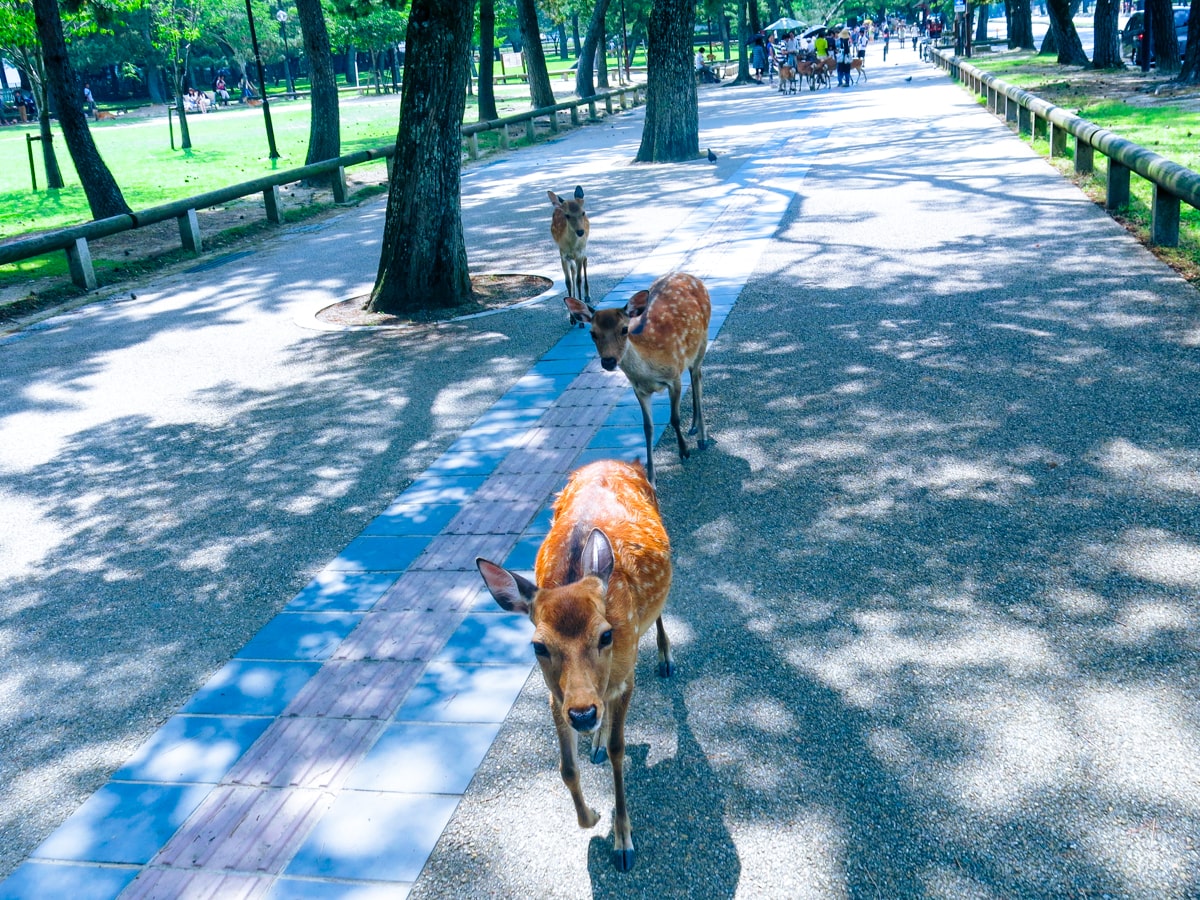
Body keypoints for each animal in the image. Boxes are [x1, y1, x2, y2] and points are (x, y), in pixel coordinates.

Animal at [472, 458, 672, 873]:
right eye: (538, 646)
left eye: (606, 635)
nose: (582, 714)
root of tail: (623, 461)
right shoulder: (556, 695)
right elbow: (566, 767)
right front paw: (591, 816)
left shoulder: (625, 676)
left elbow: (619, 750)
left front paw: (623, 841)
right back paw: (593, 739)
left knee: (661, 614)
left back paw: (664, 658)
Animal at [549, 184, 592, 326]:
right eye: (567, 215)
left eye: (582, 213)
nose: (580, 231)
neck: (572, 246)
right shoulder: (563, 255)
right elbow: (568, 282)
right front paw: (572, 318)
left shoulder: (579, 253)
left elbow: (578, 280)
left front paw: (581, 321)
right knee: (573, 271)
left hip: (584, 248)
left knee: (585, 261)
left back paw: (587, 295)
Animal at [564, 273, 705, 489]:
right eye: (592, 333)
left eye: (624, 329)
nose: (608, 361)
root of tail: (690, 276)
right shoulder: (639, 389)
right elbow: (647, 428)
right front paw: (651, 478)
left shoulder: (674, 376)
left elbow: (674, 418)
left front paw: (684, 452)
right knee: (694, 375)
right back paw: (694, 426)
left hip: (702, 342)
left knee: (697, 378)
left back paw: (702, 437)